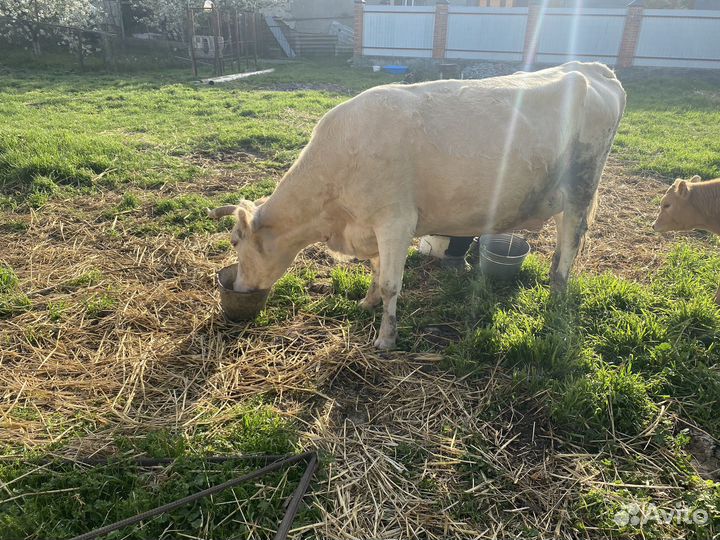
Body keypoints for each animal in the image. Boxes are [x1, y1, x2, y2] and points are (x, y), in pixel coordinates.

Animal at [208, 62, 626, 349]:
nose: (239, 287)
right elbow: (376, 270)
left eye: (234, 242)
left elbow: (392, 283)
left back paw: (556, 297)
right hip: (560, 195)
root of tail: (593, 68)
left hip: (582, 187)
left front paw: (385, 338)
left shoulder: (396, 221)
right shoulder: (371, 226)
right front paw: (367, 302)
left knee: (571, 245)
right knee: (562, 244)